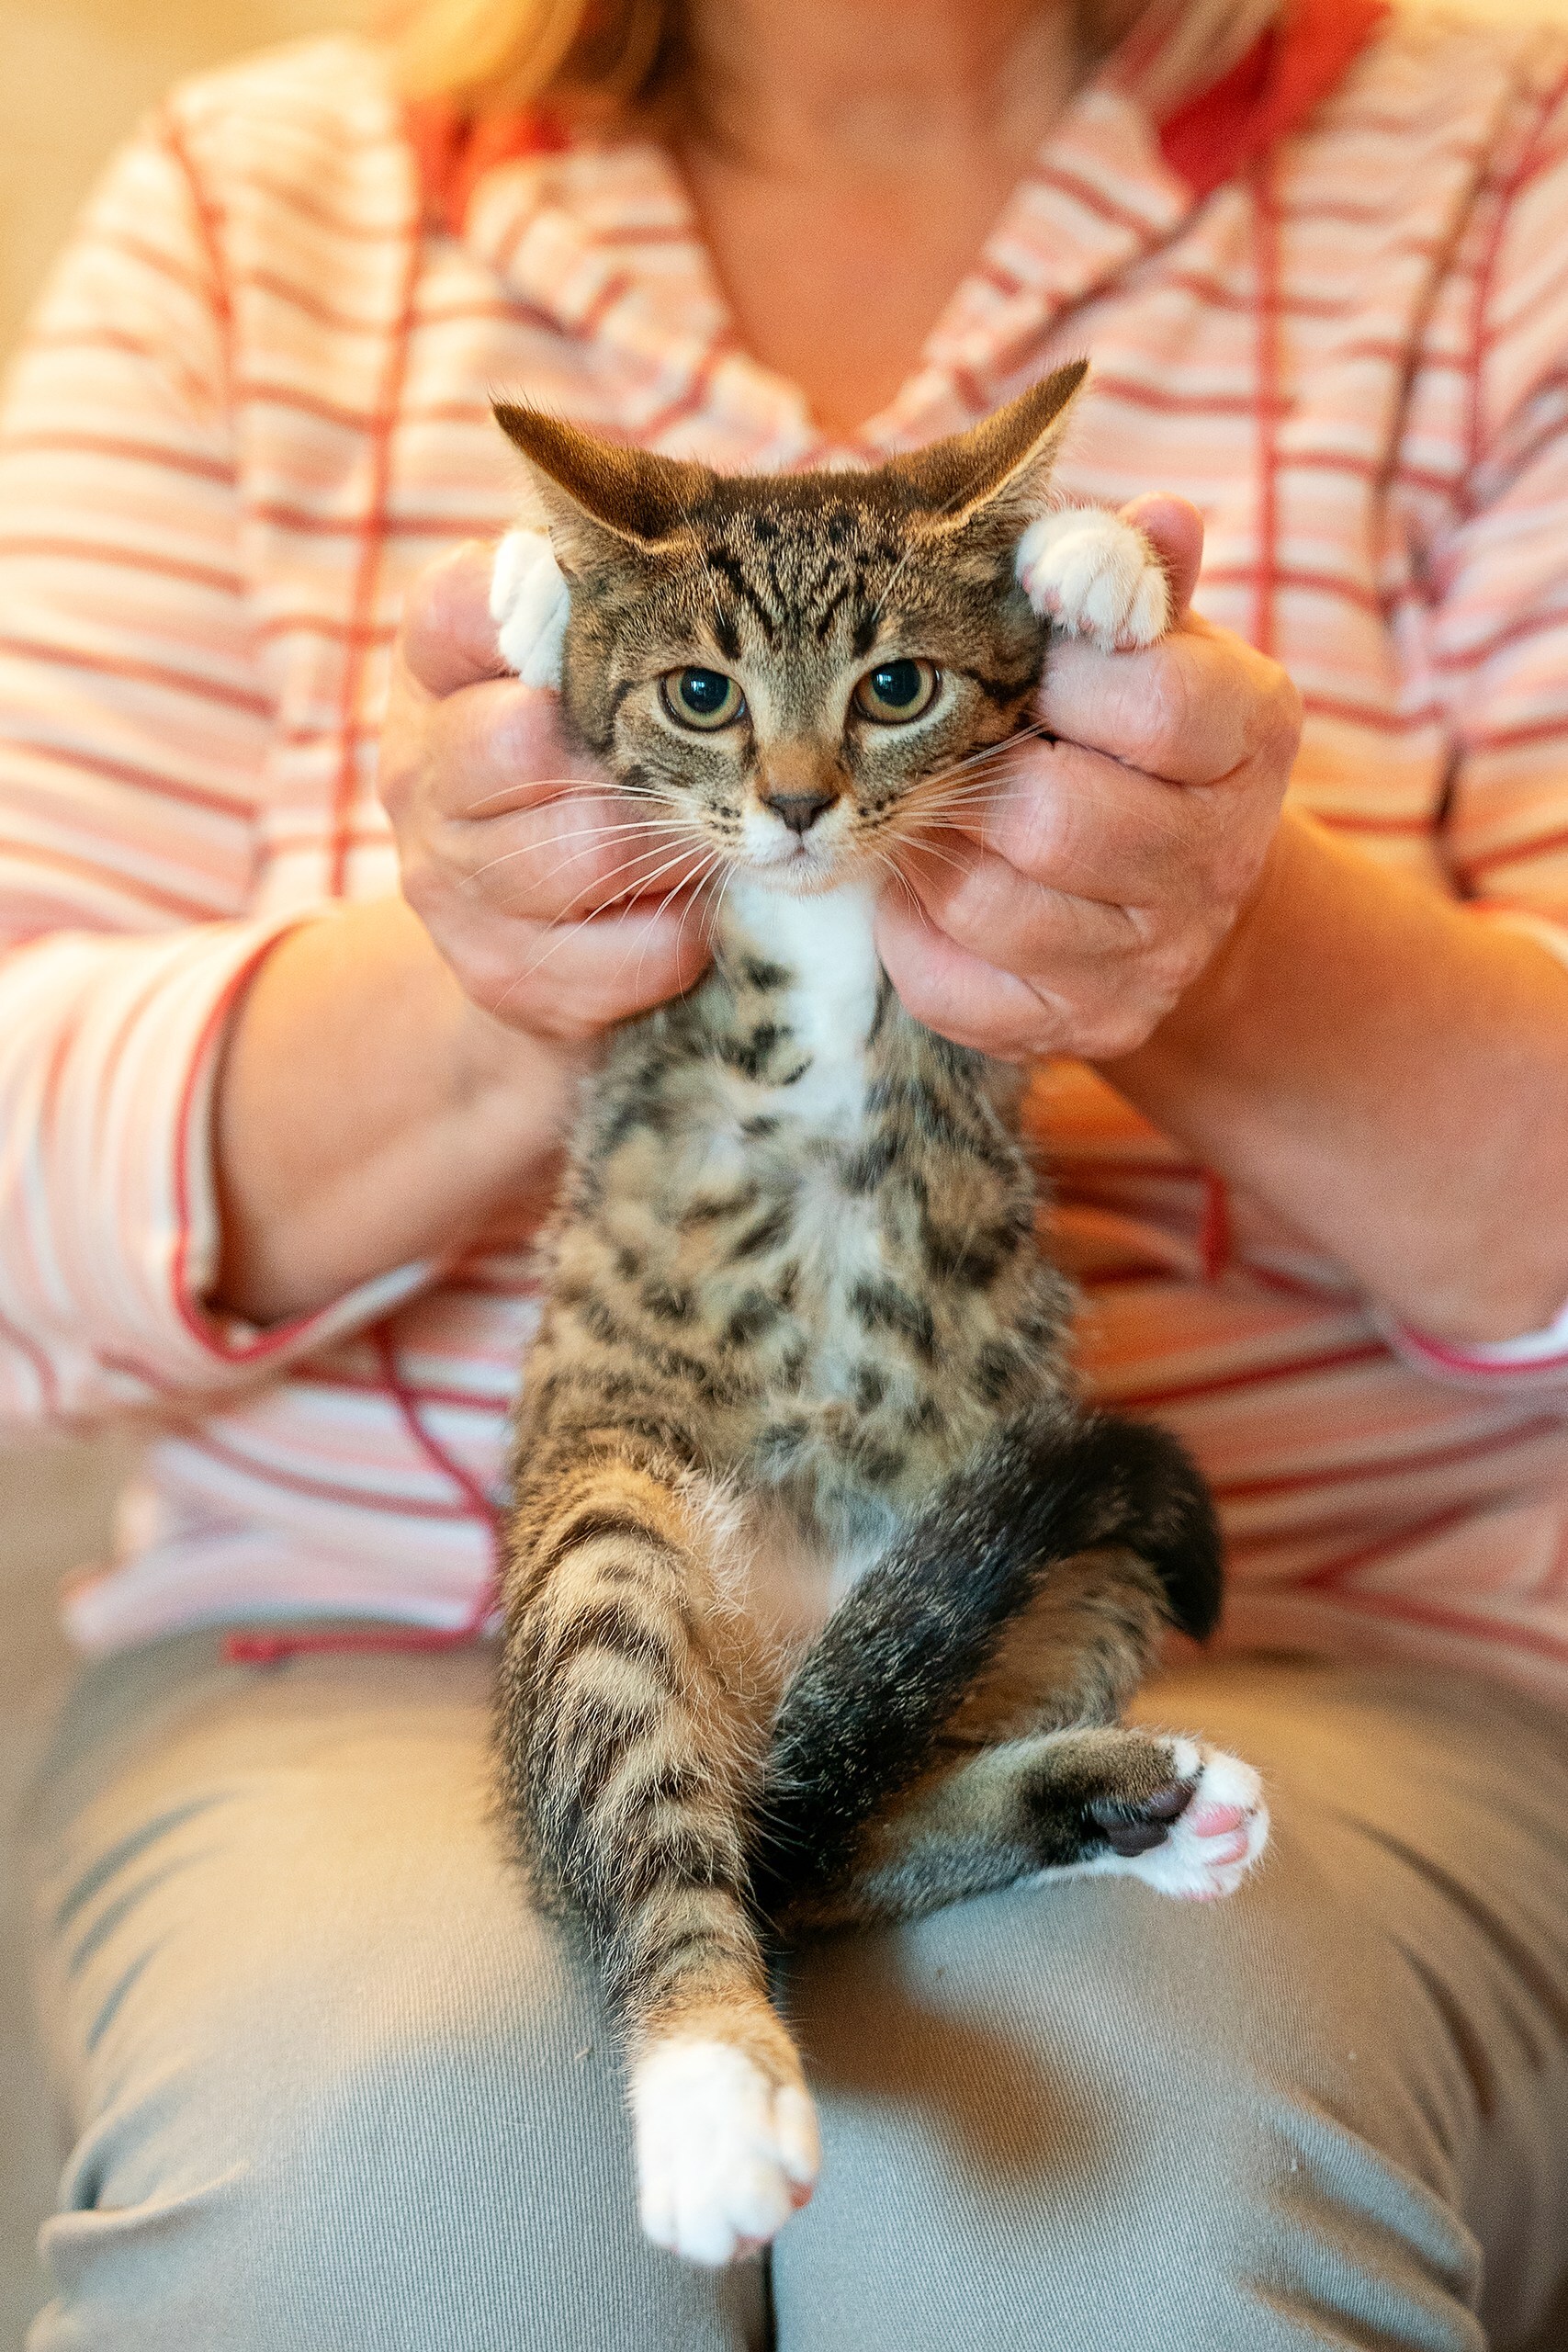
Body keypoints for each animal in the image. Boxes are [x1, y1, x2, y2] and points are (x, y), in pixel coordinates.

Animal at [484, 371, 1269, 2277]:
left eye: (892, 690)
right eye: (701, 696)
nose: (792, 804)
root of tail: (778, 1679)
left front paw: (1097, 558)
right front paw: (528, 588)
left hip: (1080, 1524)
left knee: (828, 1848)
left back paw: (1128, 1803)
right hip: (607, 1527)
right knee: (679, 1845)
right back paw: (708, 2086)